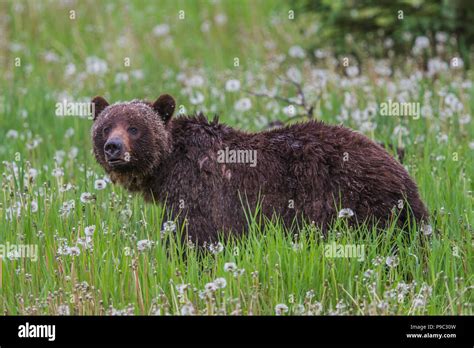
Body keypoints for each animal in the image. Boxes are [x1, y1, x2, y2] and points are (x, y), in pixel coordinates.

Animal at [90, 95, 428, 245]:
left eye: (134, 127)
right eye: (106, 126)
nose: (113, 147)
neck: (165, 166)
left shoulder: (196, 190)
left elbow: (191, 237)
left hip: (362, 203)